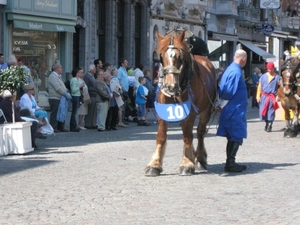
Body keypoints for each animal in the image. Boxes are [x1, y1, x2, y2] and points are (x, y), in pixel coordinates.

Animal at [145, 31, 217, 176]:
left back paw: (200, 158)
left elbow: (188, 136)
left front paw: (187, 163)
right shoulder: (163, 112)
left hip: (206, 110)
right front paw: (154, 165)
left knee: (199, 132)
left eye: (180, 57)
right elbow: (161, 136)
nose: (171, 85)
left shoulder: (190, 113)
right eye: (161, 56)